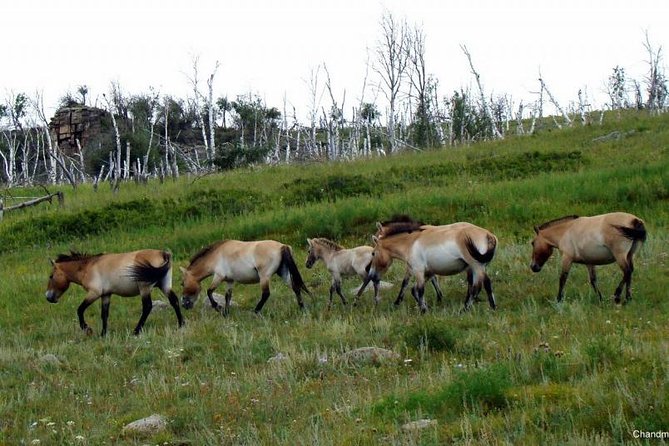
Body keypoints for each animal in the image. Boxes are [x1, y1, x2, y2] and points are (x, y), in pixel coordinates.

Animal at [45, 250, 184, 336]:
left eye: (51, 276)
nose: (48, 297)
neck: (88, 267)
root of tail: (163, 253)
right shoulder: (106, 295)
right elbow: (104, 314)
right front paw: (103, 334)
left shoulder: (94, 293)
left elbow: (80, 310)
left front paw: (87, 329)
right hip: (164, 285)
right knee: (174, 301)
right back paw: (181, 324)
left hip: (144, 288)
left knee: (147, 307)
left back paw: (136, 331)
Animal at [180, 240, 310, 315]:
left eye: (182, 283)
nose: (184, 304)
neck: (216, 255)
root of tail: (282, 246)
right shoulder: (229, 280)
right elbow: (228, 296)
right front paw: (226, 313)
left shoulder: (218, 276)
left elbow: (209, 292)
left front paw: (218, 308)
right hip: (283, 273)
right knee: (295, 287)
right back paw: (302, 308)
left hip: (264, 277)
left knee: (266, 294)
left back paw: (256, 311)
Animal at [359, 218, 498, 312]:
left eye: (373, 253)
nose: (369, 272)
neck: (410, 242)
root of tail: (488, 235)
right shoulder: (425, 271)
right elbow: (415, 288)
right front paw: (427, 304)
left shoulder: (418, 270)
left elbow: (417, 289)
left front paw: (422, 310)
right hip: (479, 267)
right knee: (486, 283)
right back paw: (492, 307)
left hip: (476, 266)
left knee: (476, 287)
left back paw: (465, 309)